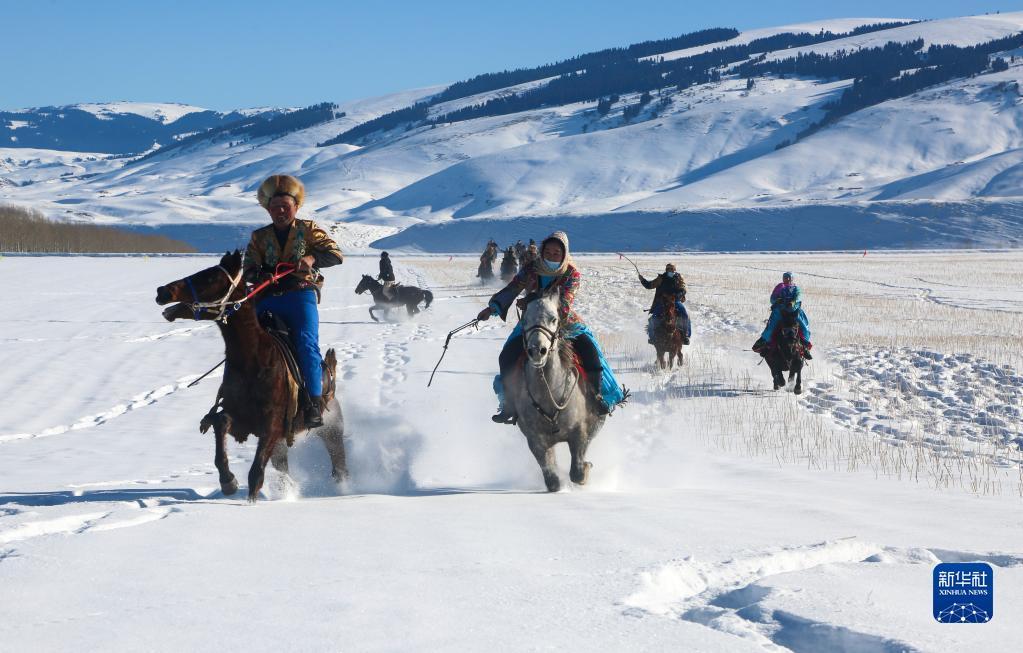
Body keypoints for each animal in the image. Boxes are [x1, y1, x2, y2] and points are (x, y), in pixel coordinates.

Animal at [153, 249, 347, 501]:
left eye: (211, 277)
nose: (163, 291)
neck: (254, 361)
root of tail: (329, 374)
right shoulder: (240, 418)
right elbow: (220, 423)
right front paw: (228, 481)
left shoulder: (272, 427)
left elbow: (256, 471)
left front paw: (250, 498)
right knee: (283, 466)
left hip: (331, 429)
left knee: (339, 463)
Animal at [505, 288, 605, 493]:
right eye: (524, 319)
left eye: (553, 318)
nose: (537, 350)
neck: (549, 393)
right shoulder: (536, 440)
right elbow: (552, 480)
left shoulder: (579, 433)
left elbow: (577, 472)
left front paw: (587, 468)